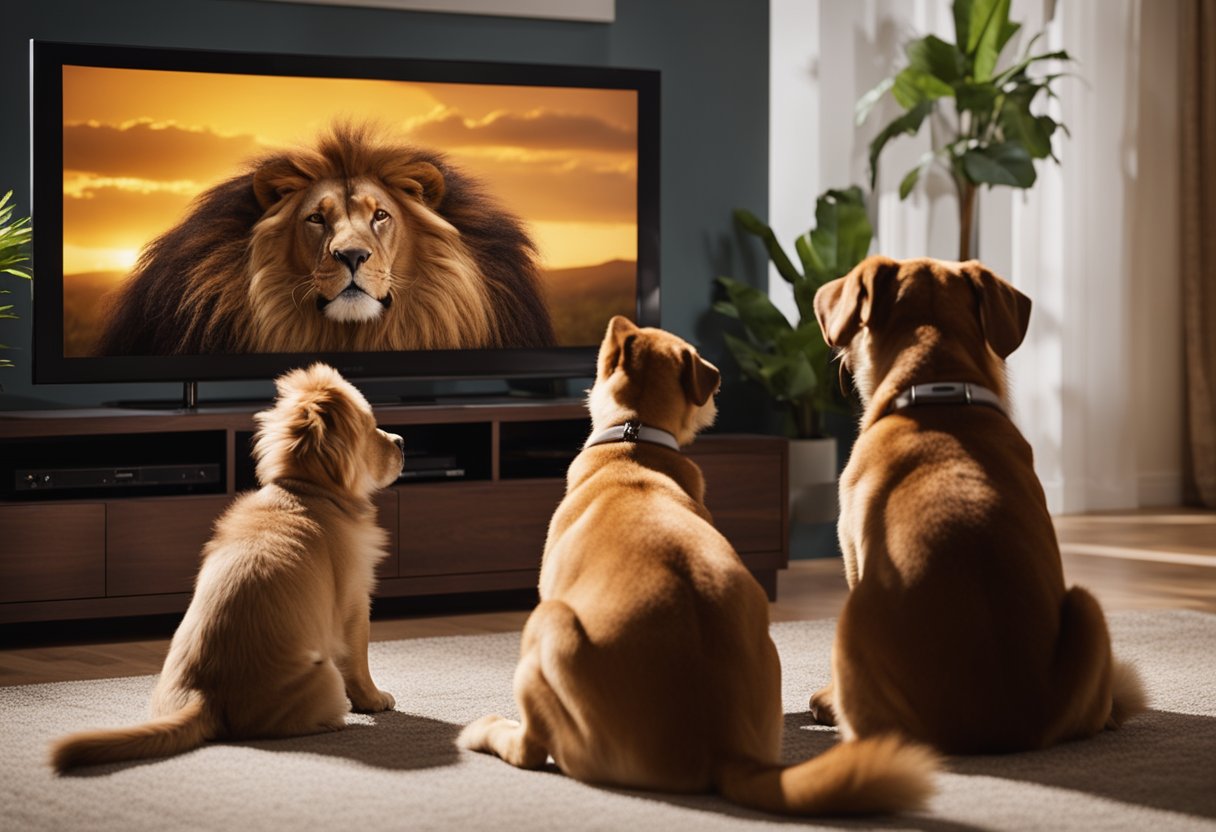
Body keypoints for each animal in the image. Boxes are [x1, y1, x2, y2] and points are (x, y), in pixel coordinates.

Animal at [49, 364, 401, 773]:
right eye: (372, 427)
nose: (401, 440)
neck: (305, 493)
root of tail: (208, 698)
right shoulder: (355, 604)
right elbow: (359, 661)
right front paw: (374, 699)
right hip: (323, 673)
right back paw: (336, 718)